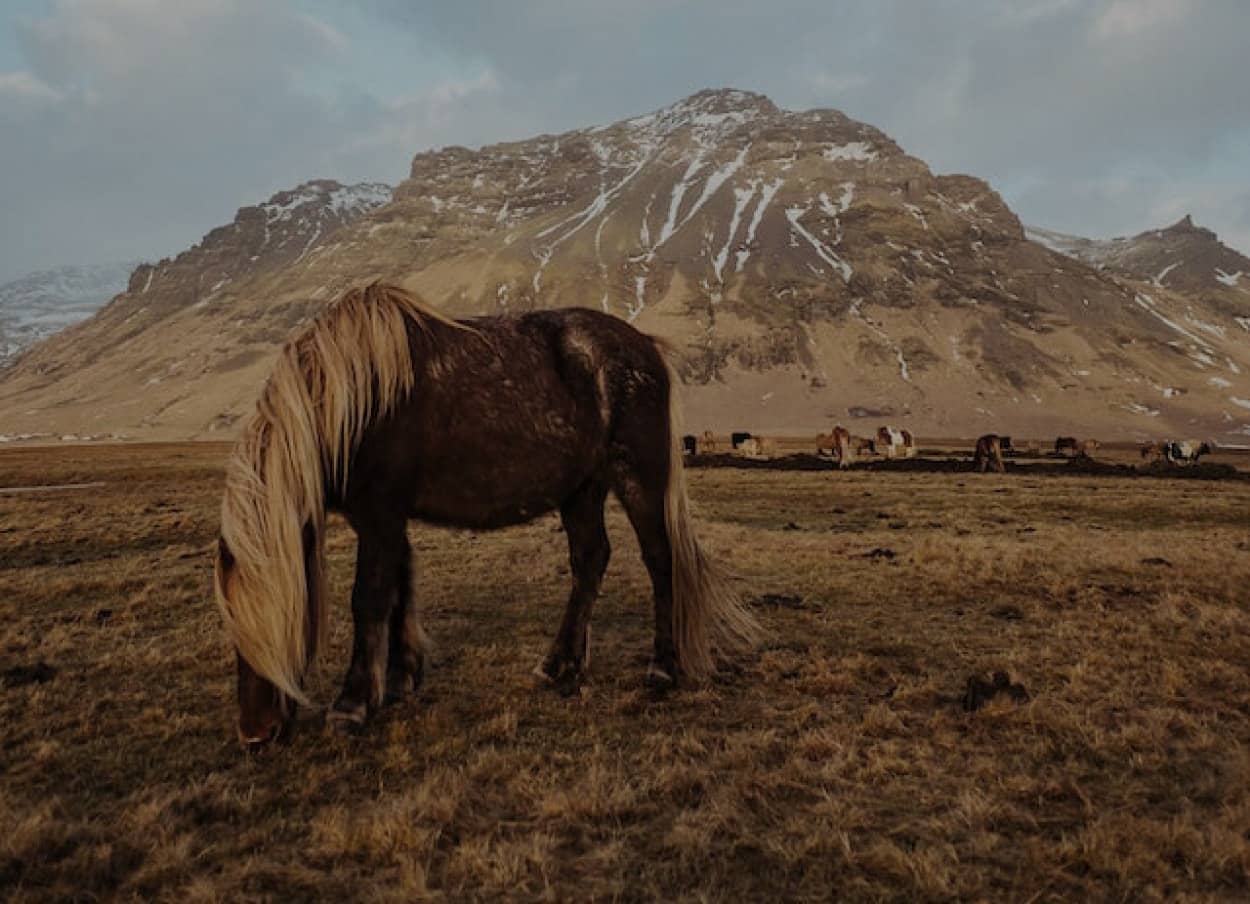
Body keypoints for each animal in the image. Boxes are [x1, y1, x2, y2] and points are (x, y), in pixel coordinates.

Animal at [212, 285, 760, 750]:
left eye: (274, 617)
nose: (256, 734)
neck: (355, 400)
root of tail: (645, 348)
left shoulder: (380, 515)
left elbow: (369, 599)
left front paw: (351, 705)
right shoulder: (388, 519)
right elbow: (400, 588)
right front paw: (401, 678)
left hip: (636, 479)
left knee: (659, 560)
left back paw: (661, 669)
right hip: (582, 490)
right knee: (590, 560)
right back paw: (560, 665)